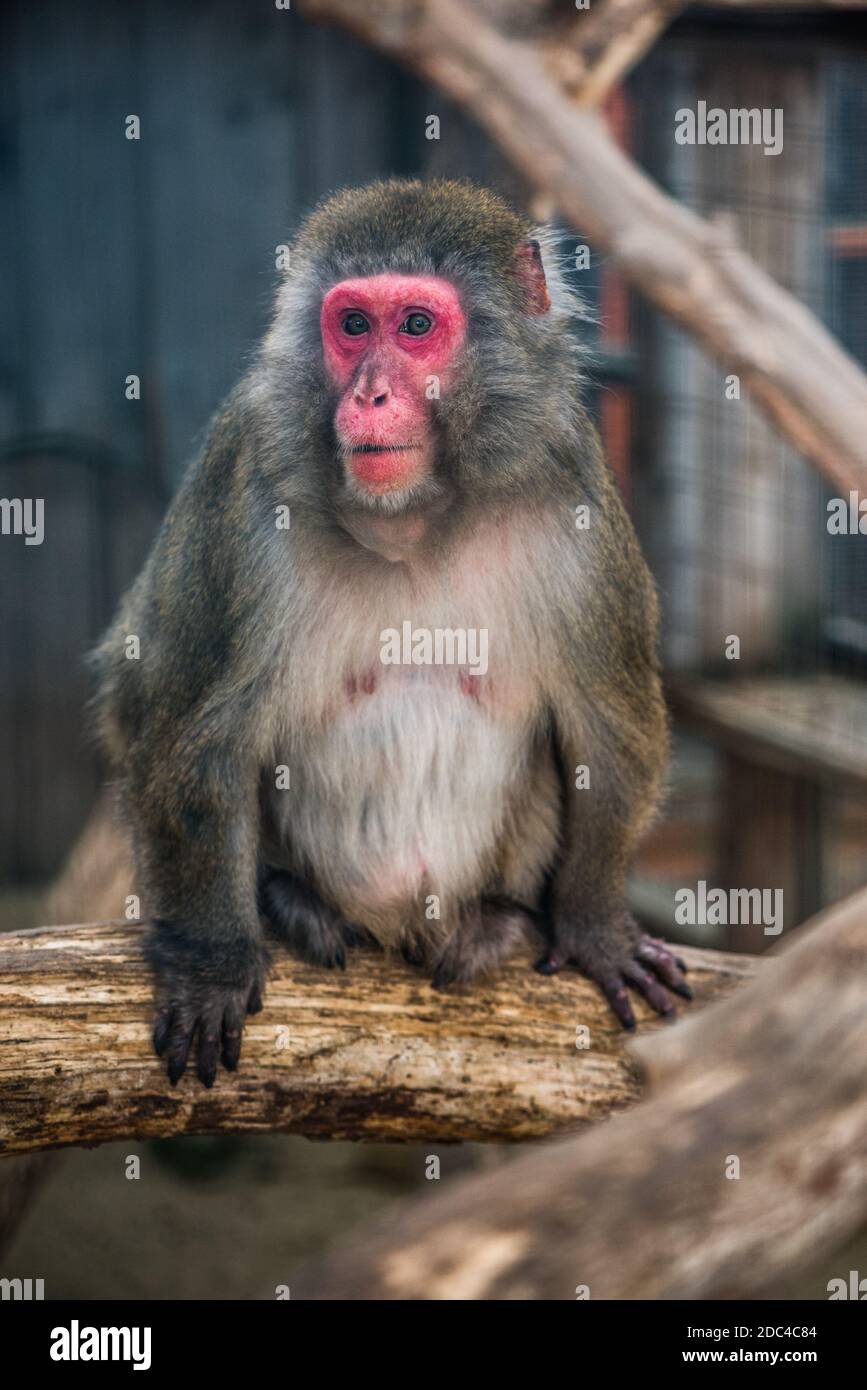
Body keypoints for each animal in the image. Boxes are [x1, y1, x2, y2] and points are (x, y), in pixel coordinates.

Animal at [93, 178, 689, 1087]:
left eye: (413, 325)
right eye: (351, 325)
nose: (368, 395)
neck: (413, 520)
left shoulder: (573, 501)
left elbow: (610, 735)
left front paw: (596, 926)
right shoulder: (242, 486)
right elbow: (183, 731)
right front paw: (209, 961)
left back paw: (491, 921)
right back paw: (291, 901)